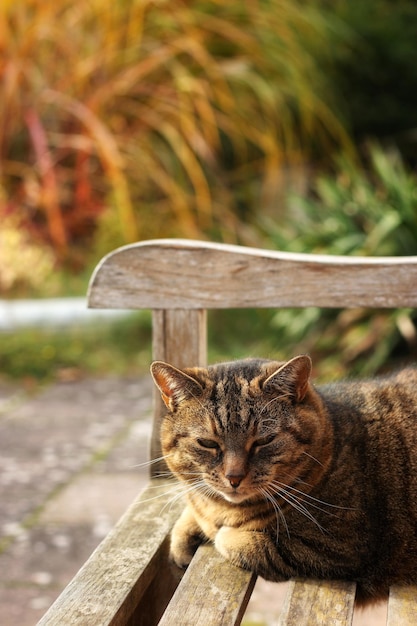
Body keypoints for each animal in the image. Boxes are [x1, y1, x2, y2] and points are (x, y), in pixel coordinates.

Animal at [150, 352, 416, 600]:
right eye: (207, 443)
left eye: (264, 440)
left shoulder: (337, 548)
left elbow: (241, 541)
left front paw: (218, 532)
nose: (234, 477)